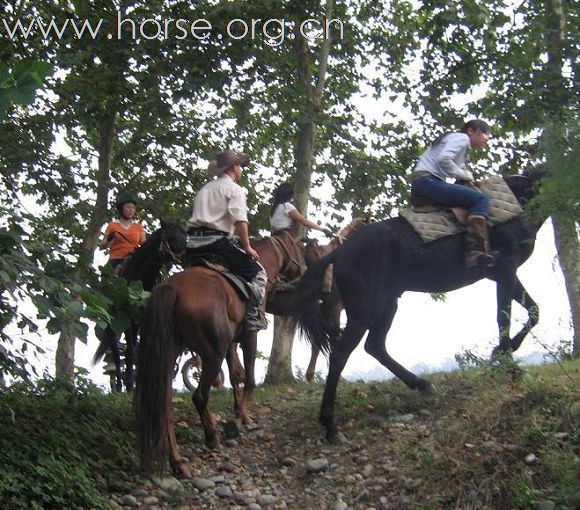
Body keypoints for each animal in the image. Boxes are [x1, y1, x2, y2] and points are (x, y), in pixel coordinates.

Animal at [94, 221, 186, 392]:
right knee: (115, 350)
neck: (142, 279)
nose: (185, 249)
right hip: (114, 322)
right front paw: (129, 385)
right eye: (171, 235)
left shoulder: (142, 320)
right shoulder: (127, 320)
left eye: (184, 233)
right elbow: (130, 351)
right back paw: (119, 384)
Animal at [134, 231, 312, 478]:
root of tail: (172, 288)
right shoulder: (249, 335)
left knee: (165, 406)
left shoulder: (230, 343)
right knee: (199, 395)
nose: (305, 272)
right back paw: (211, 435)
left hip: (169, 356)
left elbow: (236, 374)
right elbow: (249, 378)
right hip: (212, 354)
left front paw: (239, 412)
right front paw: (242, 418)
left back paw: (178, 462)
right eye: (299, 249)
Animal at [290, 172, 548, 442]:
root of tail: (338, 252)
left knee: (375, 346)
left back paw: (421, 384)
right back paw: (331, 425)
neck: (520, 198)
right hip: (365, 310)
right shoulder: (506, 269)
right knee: (340, 355)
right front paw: (511, 366)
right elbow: (503, 317)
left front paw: (503, 352)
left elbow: (534, 310)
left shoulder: (503, 274)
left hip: (388, 304)